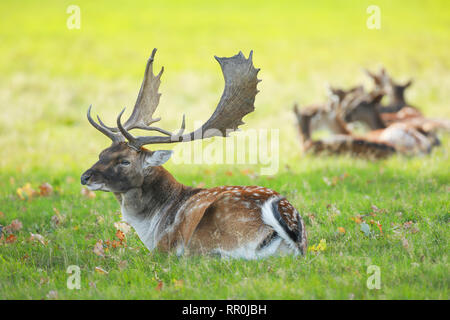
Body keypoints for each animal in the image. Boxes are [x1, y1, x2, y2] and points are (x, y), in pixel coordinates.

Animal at [80, 50, 306, 260]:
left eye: (125, 161)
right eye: (102, 153)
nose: (85, 177)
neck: (152, 228)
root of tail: (294, 240)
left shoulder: (163, 247)